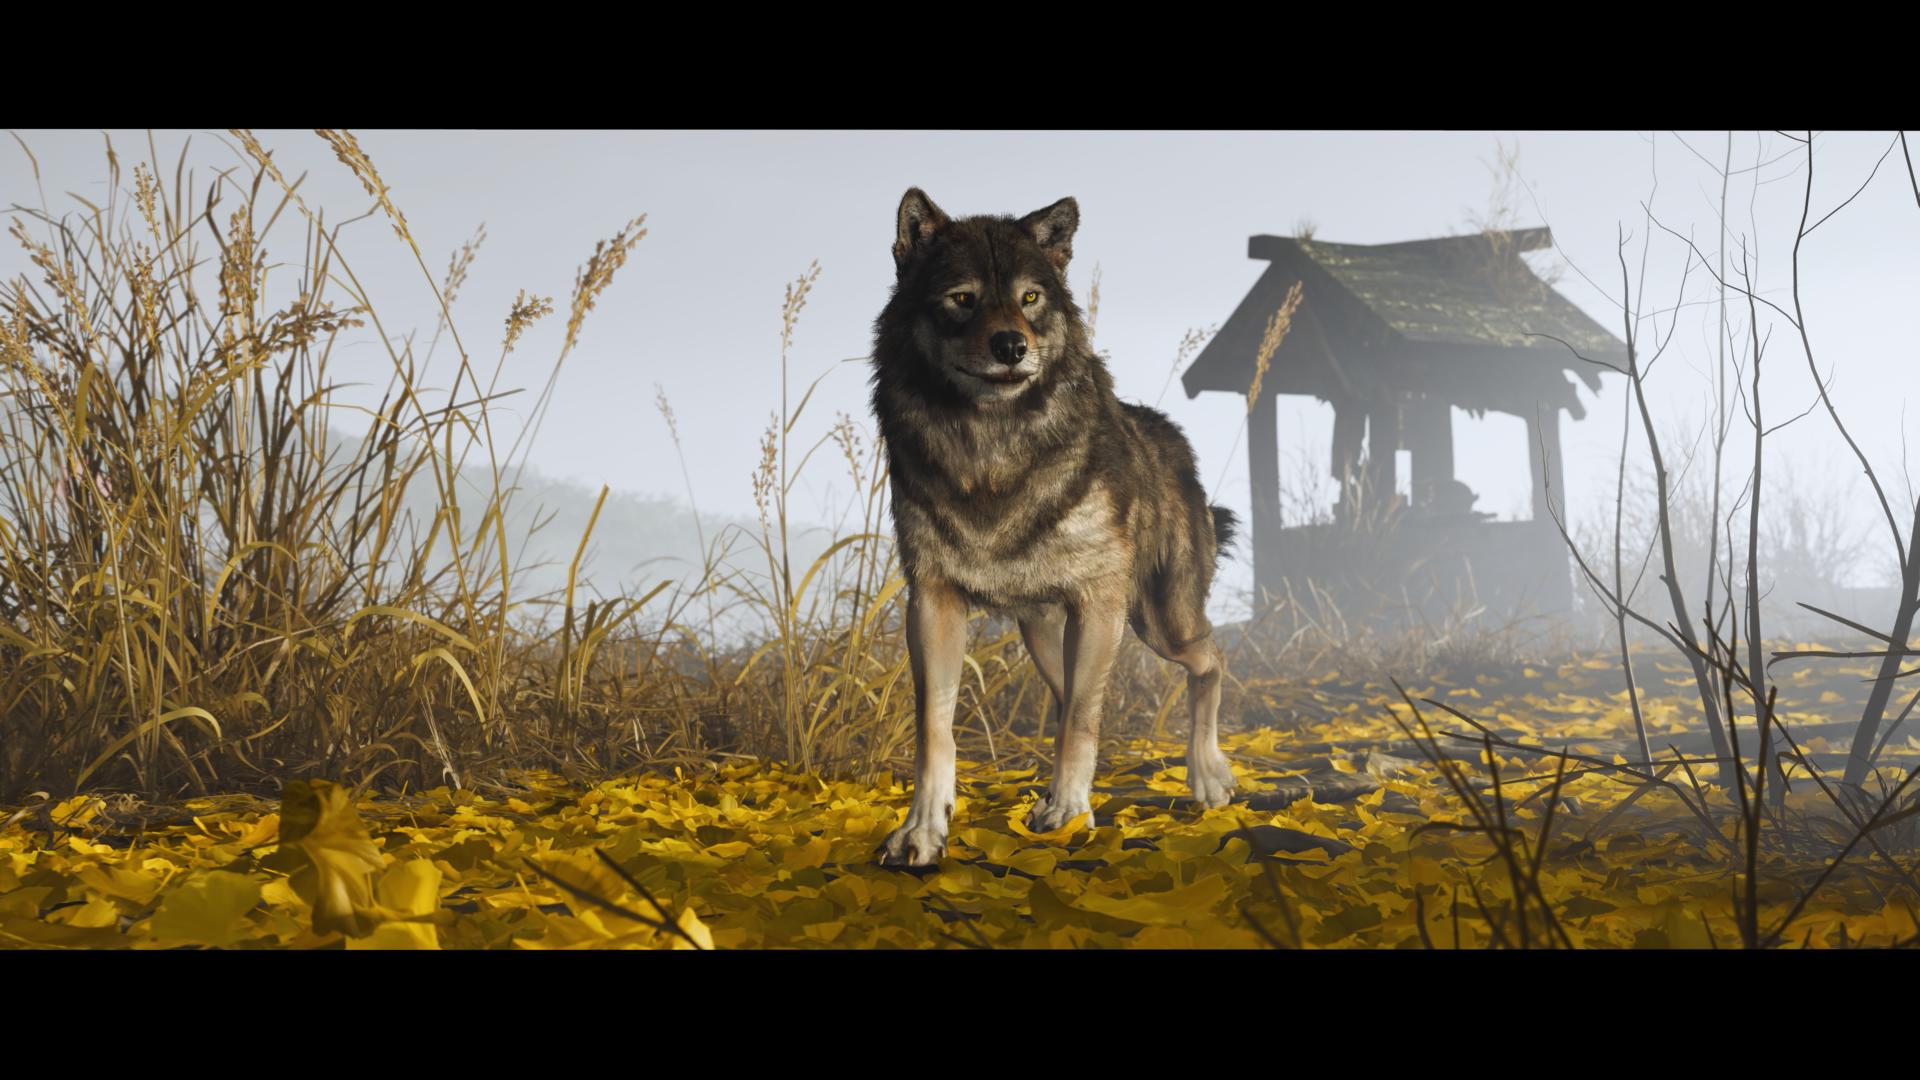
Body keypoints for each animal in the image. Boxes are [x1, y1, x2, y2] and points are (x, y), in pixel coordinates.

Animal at [870, 188, 1240, 869]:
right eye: (962, 298)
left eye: (1030, 298)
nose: (1012, 347)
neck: (992, 449)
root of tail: (1168, 432)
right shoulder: (932, 601)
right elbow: (935, 728)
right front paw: (922, 831)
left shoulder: (1098, 603)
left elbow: (1079, 726)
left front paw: (1069, 815)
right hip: (1047, 636)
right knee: (1075, 698)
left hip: (1158, 622)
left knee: (1209, 661)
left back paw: (1208, 777)